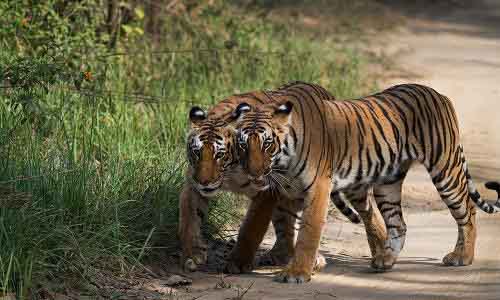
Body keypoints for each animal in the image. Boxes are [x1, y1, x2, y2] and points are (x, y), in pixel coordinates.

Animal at [177, 81, 360, 274]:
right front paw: (192, 256)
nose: (204, 182)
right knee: (285, 225)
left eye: (219, 154)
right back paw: (279, 256)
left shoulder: (266, 190)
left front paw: (238, 262)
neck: (230, 172)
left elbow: (252, 227)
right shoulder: (193, 185)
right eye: (197, 152)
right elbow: (189, 219)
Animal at [229, 82, 500, 284]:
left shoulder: (318, 188)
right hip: (388, 184)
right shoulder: (290, 192)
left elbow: (307, 232)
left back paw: (462, 256)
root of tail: (438, 94)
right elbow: (287, 227)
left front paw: (297, 273)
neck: (283, 162)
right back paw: (385, 260)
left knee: (467, 210)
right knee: (398, 223)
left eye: (267, 143)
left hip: (445, 169)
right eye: (243, 144)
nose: (253, 172)